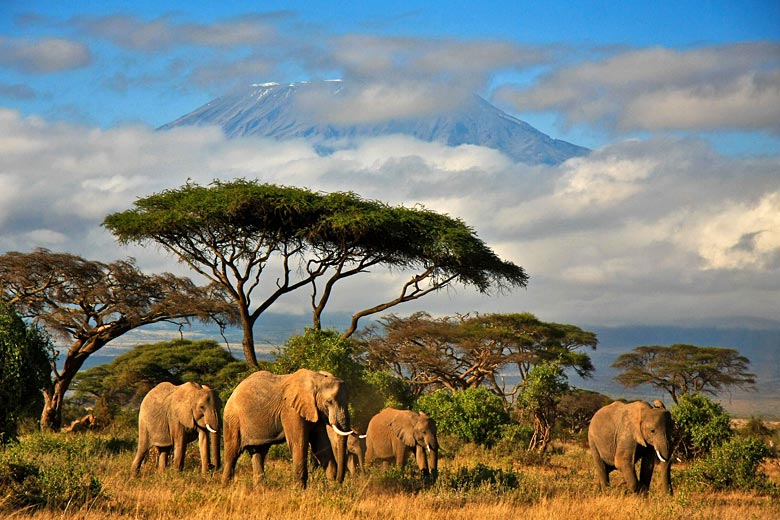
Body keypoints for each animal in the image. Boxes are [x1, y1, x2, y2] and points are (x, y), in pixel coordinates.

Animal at [221, 370, 352, 488]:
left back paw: (260, 490)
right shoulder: (291, 410)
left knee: (259, 453)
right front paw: (299, 491)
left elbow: (321, 446)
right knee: (232, 452)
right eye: (329, 401)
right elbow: (298, 443)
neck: (317, 379)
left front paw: (332, 488)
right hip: (233, 419)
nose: (339, 482)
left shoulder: (316, 412)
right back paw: (226, 488)